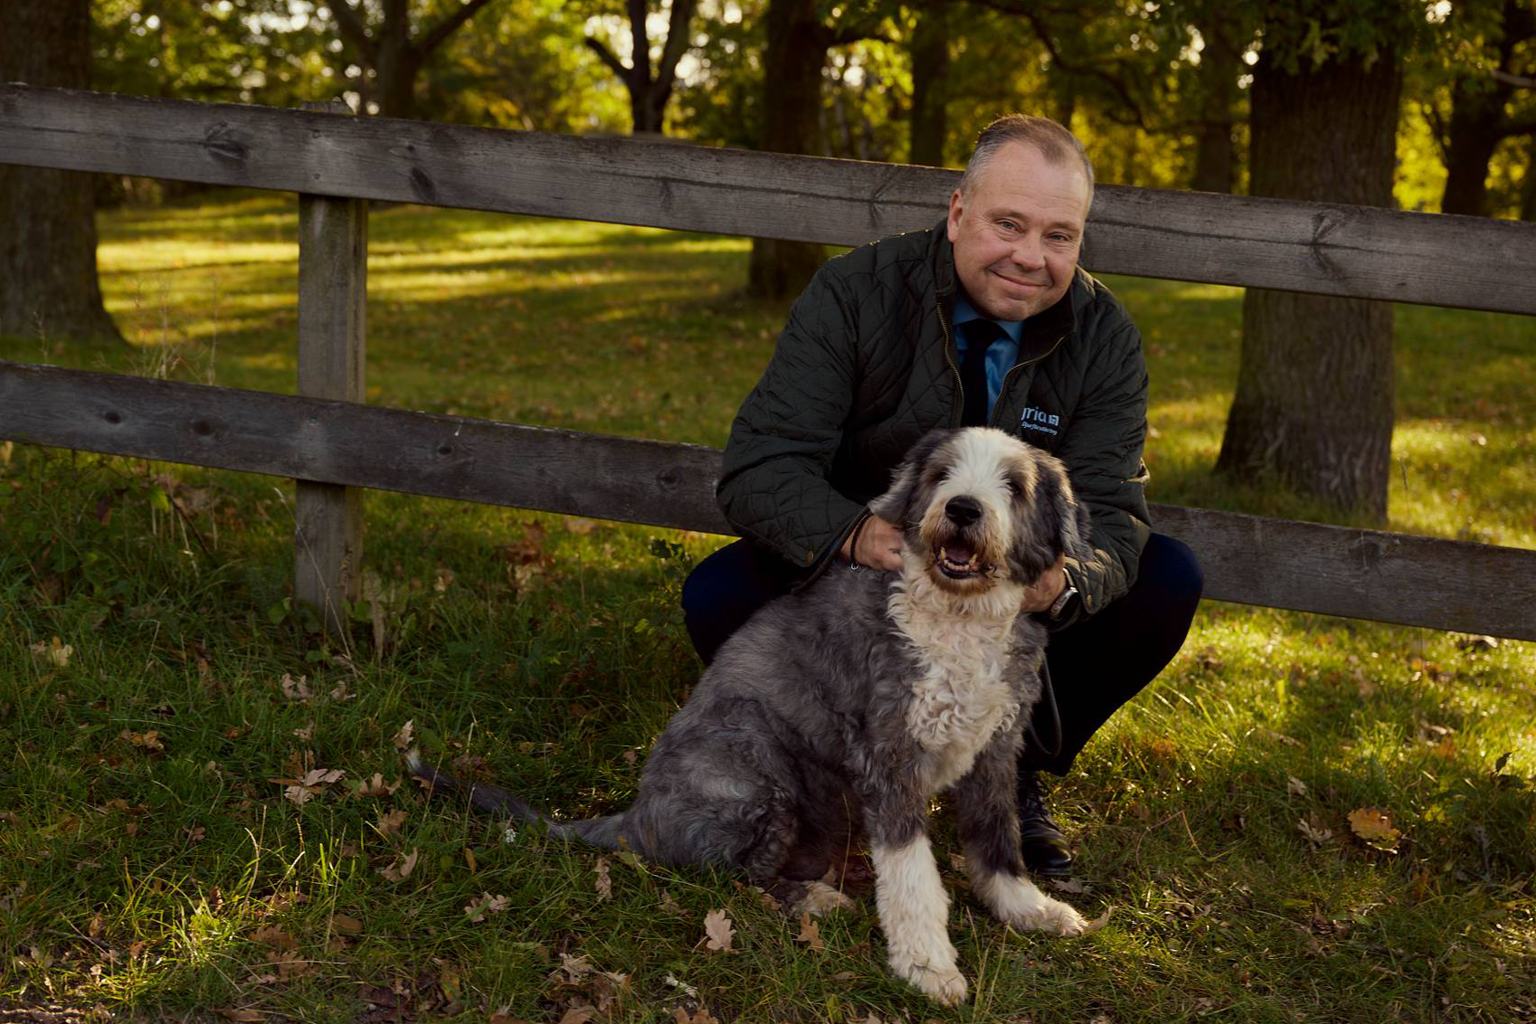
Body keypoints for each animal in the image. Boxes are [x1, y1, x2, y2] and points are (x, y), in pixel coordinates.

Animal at [414, 429, 1099, 1007]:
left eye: (1013, 485)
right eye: (942, 473)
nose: (962, 508)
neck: (956, 615)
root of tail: (638, 817)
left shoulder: (995, 747)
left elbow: (997, 840)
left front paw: (1026, 908)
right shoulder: (890, 759)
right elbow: (912, 879)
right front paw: (927, 967)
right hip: (758, 775)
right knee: (734, 878)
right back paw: (813, 899)